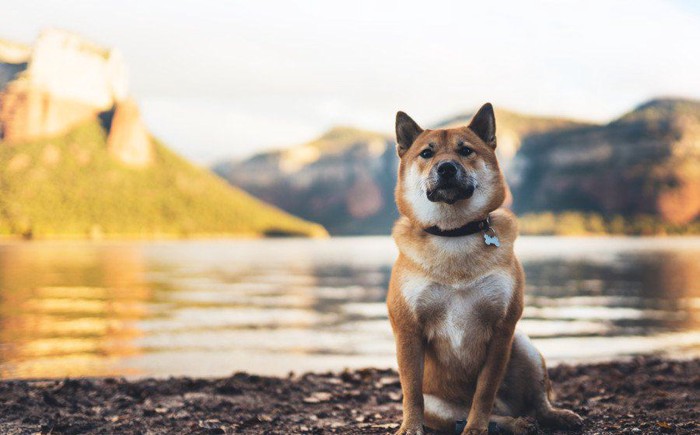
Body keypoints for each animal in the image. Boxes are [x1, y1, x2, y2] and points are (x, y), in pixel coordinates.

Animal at [386, 104, 584, 435]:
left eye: (466, 150)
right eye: (426, 153)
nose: (446, 168)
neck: (454, 234)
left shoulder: (502, 329)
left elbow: (485, 390)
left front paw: (476, 427)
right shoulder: (408, 329)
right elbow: (411, 390)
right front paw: (411, 427)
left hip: (524, 347)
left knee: (537, 401)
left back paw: (551, 417)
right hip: (440, 408)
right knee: (488, 416)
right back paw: (515, 423)